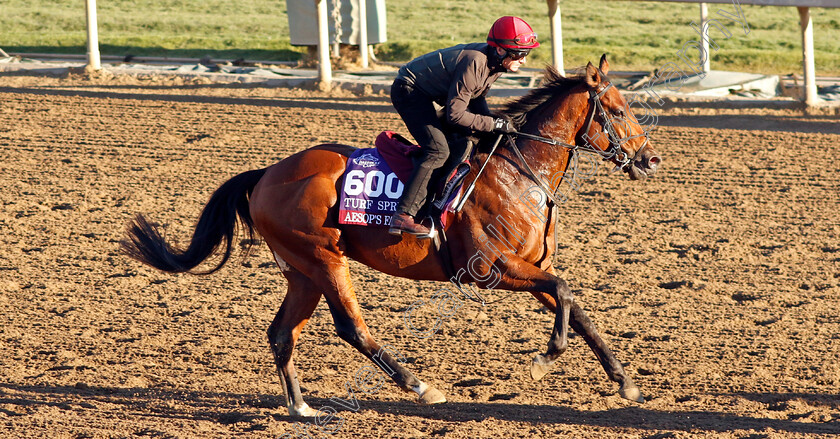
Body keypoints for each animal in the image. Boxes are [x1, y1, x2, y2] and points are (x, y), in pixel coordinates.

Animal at [123, 55, 664, 416]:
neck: (519, 172)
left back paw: (301, 408)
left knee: (282, 333)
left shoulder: (534, 267)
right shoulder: (489, 269)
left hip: (301, 271)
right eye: (616, 110)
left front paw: (625, 384)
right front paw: (544, 360)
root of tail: (267, 174)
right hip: (325, 259)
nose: (650, 159)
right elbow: (567, 294)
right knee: (351, 328)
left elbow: (579, 310)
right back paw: (419, 385)